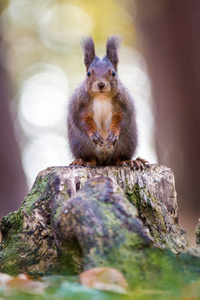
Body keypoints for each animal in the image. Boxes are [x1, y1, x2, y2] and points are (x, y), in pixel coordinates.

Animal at [67, 35, 148, 169]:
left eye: (114, 73)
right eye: (88, 73)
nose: (101, 84)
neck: (102, 98)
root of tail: (105, 162)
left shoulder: (123, 104)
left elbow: (122, 119)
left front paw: (113, 133)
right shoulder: (79, 104)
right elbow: (82, 120)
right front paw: (93, 133)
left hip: (126, 142)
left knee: (118, 159)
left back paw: (129, 161)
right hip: (81, 143)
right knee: (92, 159)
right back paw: (83, 161)